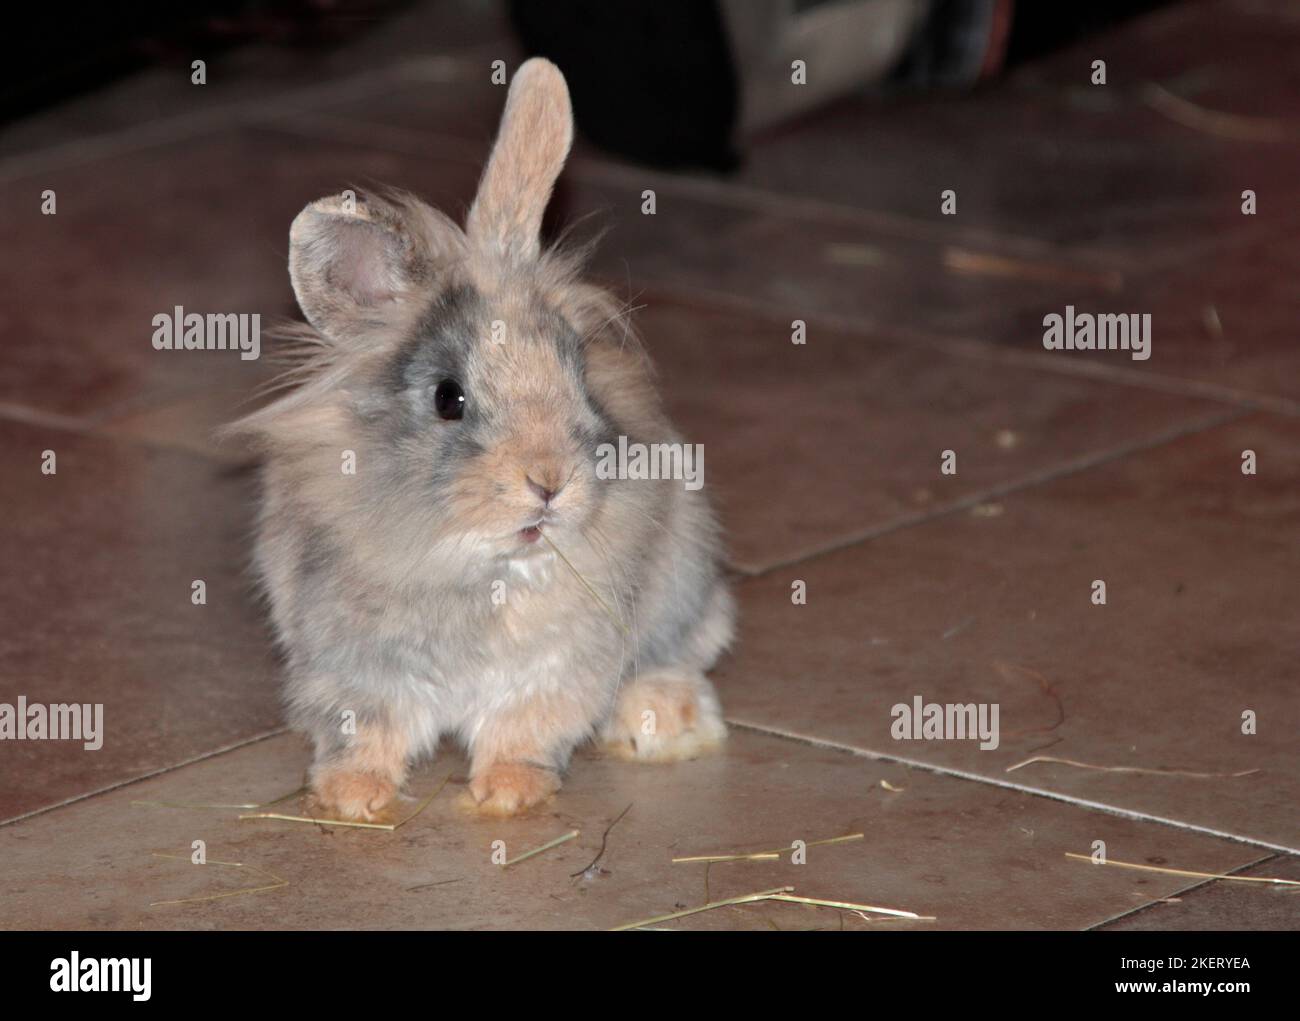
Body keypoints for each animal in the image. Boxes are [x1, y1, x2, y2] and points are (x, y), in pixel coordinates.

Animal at [231, 58, 734, 819]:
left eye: (577, 376)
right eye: (449, 398)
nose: (550, 481)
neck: (478, 565)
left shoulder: (554, 670)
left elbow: (522, 728)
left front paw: (507, 793)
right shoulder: (354, 669)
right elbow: (368, 731)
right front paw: (353, 797)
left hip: (683, 582)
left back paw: (665, 721)